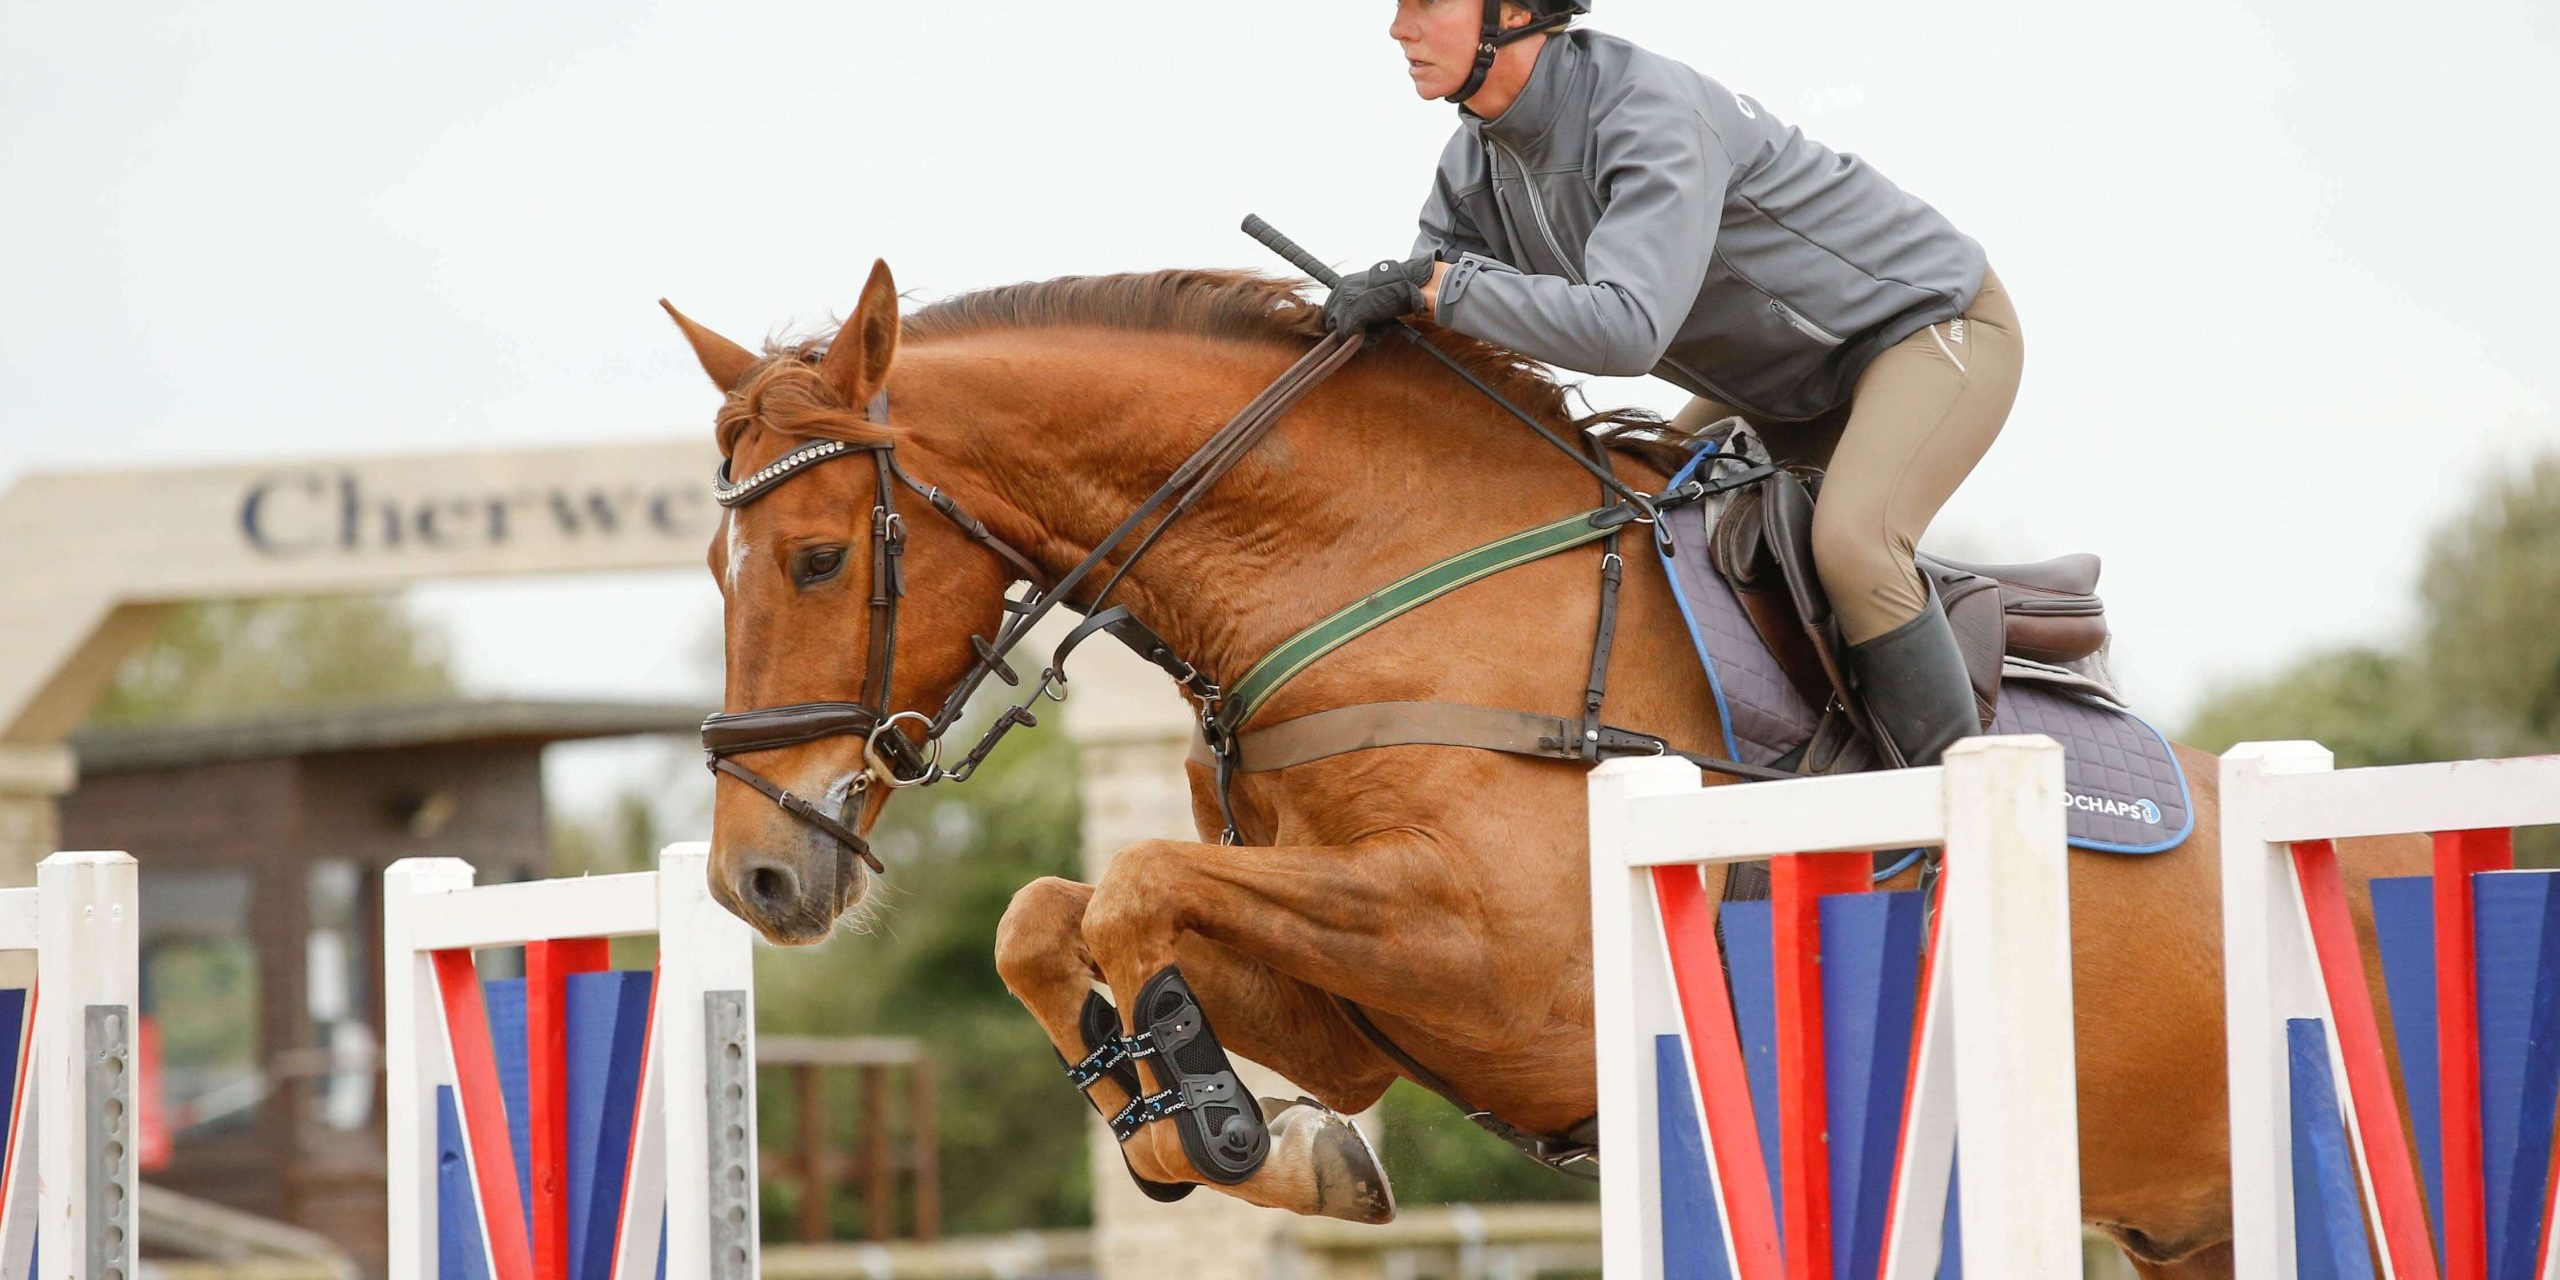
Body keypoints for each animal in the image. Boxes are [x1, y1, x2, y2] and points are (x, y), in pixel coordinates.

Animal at [667, 260, 2427, 1279]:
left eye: (819, 559)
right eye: (711, 564)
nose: (757, 875)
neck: (1383, 581)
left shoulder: (1518, 969)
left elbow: (1133, 888)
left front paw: (1217, 1114)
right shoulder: (1367, 1000)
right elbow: (1055, 916)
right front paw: (1245, 1132)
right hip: (2197, 1230)